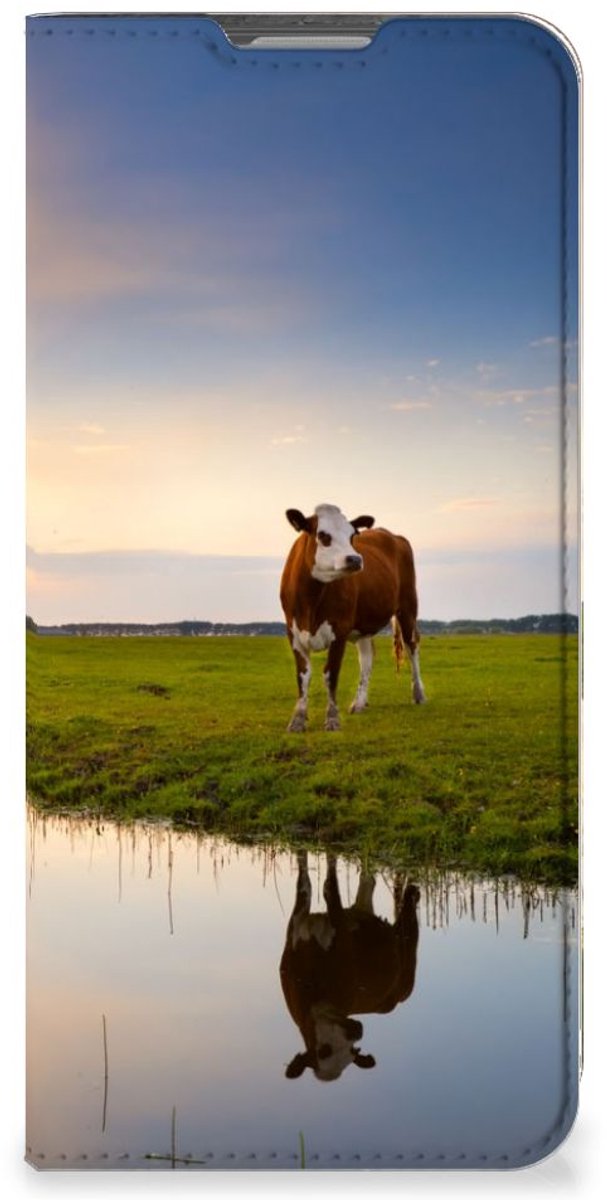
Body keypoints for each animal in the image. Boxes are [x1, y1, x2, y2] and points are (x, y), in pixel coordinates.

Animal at [279, 852, 420, 1082]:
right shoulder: (296, 925)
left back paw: (413, 892)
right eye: (323, 1051)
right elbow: (305, 882)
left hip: (407, 960)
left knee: (409, 922)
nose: (356, 1031)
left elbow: (329, 887)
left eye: (352, 1052)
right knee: (368, 881)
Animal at [280, 503, 425, 731]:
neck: (311, 600)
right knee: (367, 657)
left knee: (412, 646)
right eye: (323, 535)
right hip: (363, 625)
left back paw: (418, 693)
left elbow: (331, 674)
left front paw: (332, 719)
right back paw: (359, 702)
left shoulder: (339, 631)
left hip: (408, 606)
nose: (355, 559)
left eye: (352, 536)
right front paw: (298, 719)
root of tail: (392, 535)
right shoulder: (293, 633)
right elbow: (303, 676)